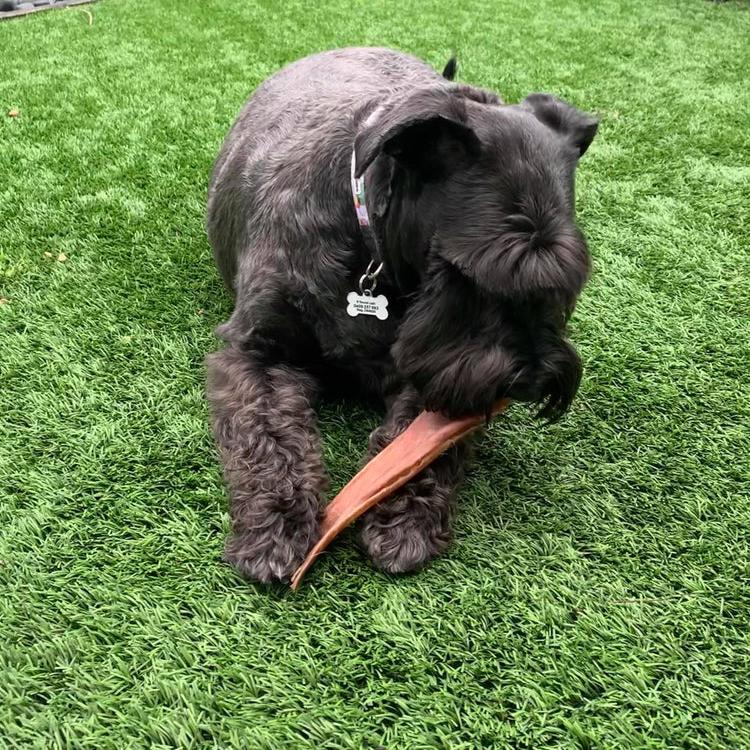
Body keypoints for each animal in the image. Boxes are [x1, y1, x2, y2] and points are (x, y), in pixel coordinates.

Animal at [206, 47, 598, 583]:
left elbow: (418, 448)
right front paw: (277, 526)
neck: (368, 243)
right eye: (463, 273)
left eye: (565, 281)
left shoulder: (427, 376)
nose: (533, 380)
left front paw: (405, 519)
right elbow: (266, 434)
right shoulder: (253, 352)